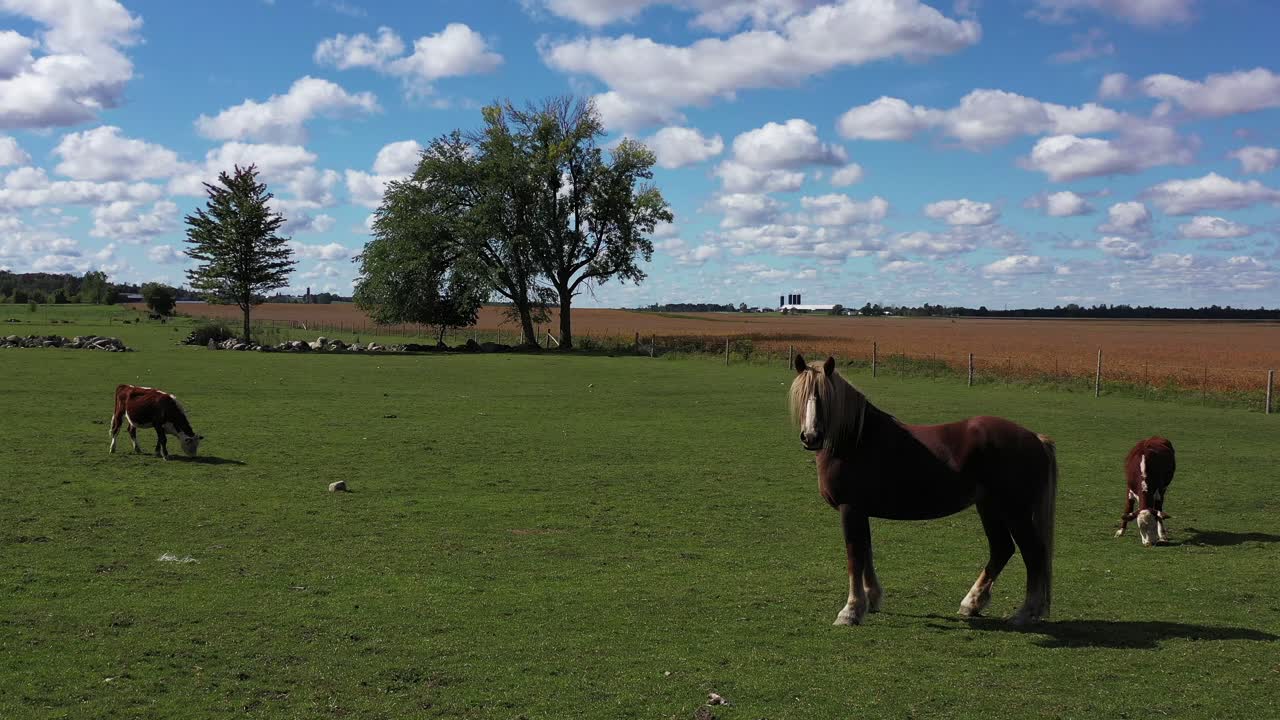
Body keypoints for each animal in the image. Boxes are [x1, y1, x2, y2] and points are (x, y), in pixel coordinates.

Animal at [788, 355, 1058, 626]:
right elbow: (866, 553)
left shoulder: (850, 508)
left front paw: (850, 611)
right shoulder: (861, 511)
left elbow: (855, 557)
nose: (810, 437)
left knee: (1034, 554)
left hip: (1015, 512)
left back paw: (1025, 613)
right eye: (802, 396)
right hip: (990, 508)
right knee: (1002, 549)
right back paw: (972, 603)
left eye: (824, 397)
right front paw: (871, 599)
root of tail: (1035, 438)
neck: (857, 441)